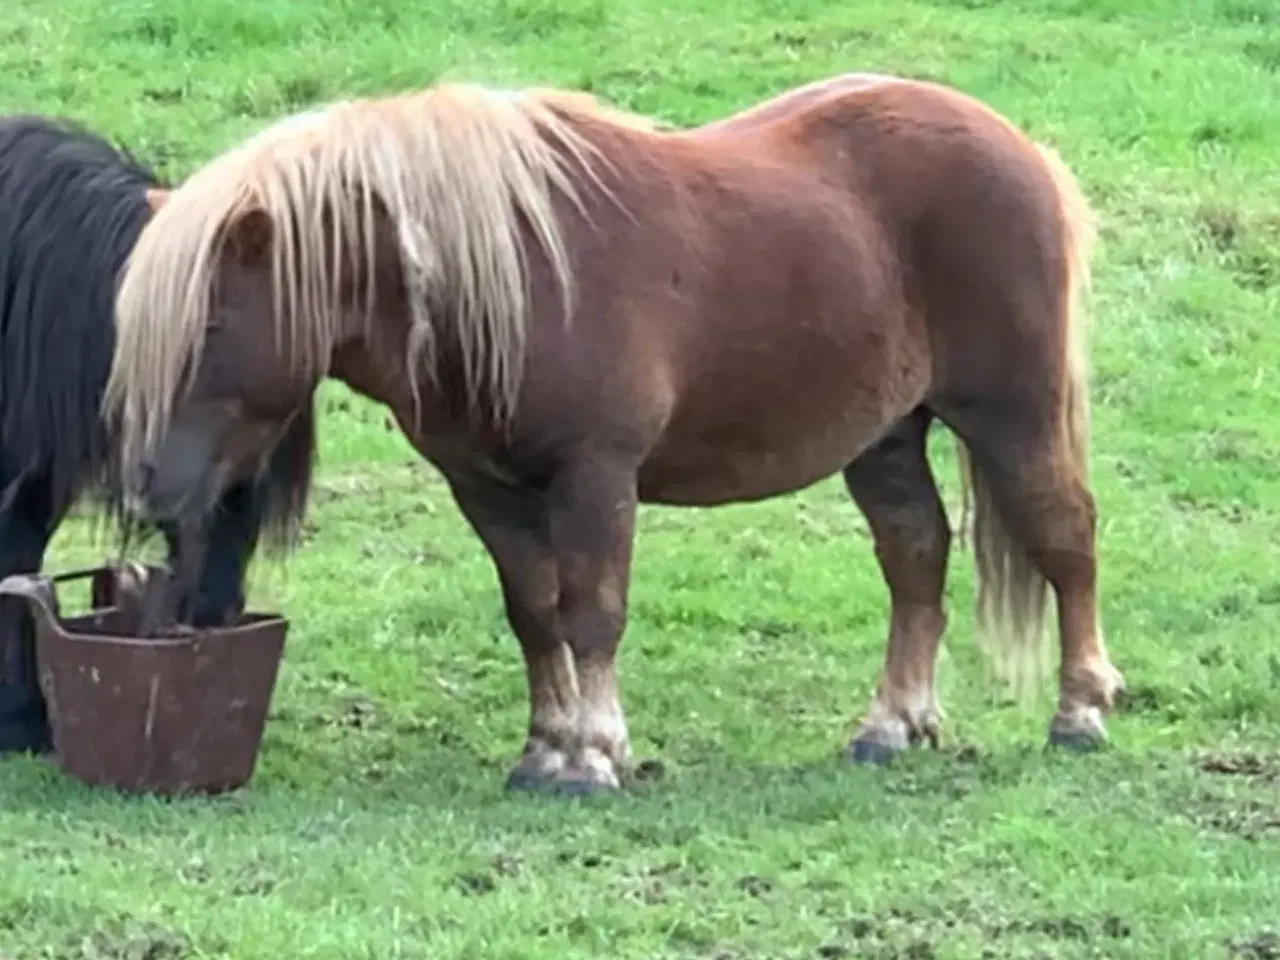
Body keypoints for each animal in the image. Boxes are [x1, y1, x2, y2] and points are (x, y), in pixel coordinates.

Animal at [104, 73, 1126, 798]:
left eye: (210, 327)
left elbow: (592, 612)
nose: (146, 485)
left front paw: (594, 757)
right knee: (917, 555)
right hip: (884, 437)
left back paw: (1080, 711)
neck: (509, 278)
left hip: (1012, 412)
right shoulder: (487, 488)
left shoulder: (595, 476)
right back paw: (891, 727)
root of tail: (1021, 147)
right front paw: (542, 751)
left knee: (1064, 538)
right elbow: (534, 614)